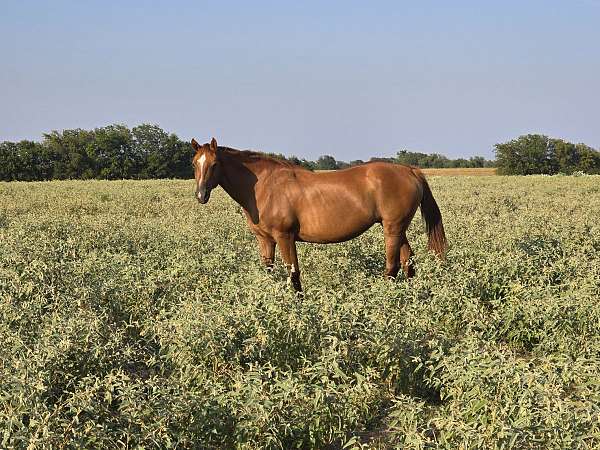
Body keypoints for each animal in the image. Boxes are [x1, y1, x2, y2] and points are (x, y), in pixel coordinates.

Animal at [192, 138, 446, 292]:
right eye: (195, 163)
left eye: (214, 164)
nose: (201, 195)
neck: (264, 185)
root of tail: (409, 170)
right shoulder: (265, 240)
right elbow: (269, 271)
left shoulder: (285, 237)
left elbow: (293, 274)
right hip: (397, 228)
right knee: (408, 262)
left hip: (392, 229)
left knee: (392, 267)